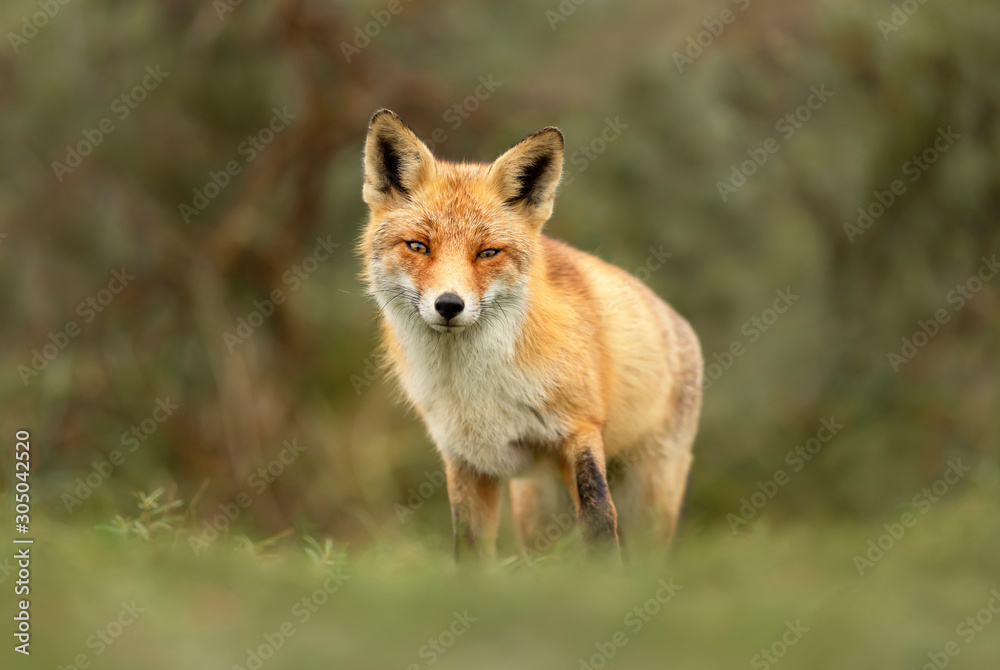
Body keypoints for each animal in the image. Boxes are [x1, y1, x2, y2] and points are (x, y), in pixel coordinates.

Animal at [360, 111, 704, 560]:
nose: (449, 305)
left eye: (487, 252)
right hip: (536, 507)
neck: (476, 387)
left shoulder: (579, 429)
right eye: (418, 246)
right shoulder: (464, 458)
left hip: (648, 500)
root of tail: (679, 321)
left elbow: (599, 519)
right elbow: (468, 548)